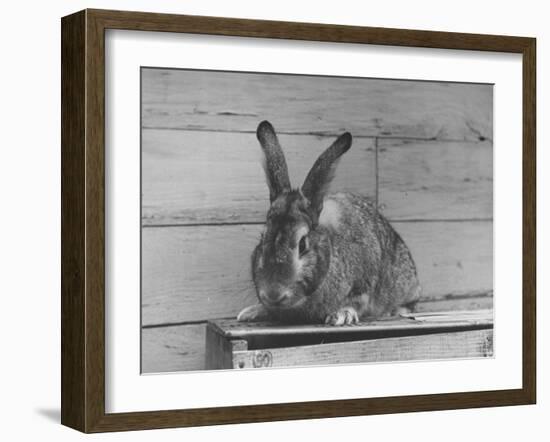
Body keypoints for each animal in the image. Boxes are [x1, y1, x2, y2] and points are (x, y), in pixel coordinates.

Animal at [237, 121, 422, 324]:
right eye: (262, 239)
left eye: (302, 244)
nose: (273, 294)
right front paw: (251, 312)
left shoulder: (363, 283)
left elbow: (357, 301)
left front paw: (342, 315)